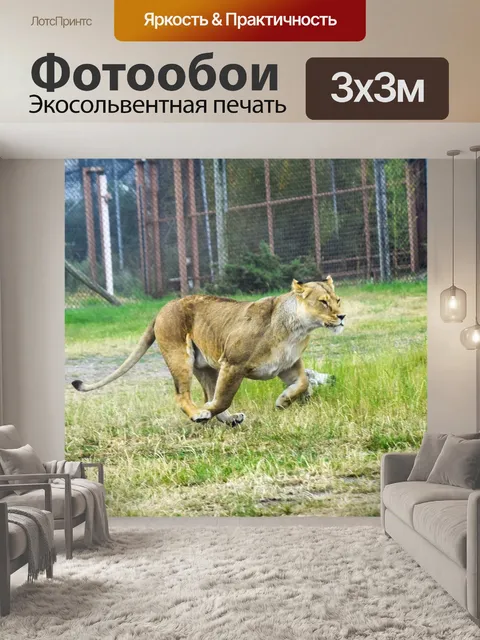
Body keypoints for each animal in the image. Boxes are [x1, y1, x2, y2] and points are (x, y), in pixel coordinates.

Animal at [72, 277, 345, 426]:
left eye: (338, 300)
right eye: (323, 302)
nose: (342, 317)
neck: (297, 329)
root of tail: (163, 308)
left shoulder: (288, 365)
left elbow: (302, 383)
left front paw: (282, 401)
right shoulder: (233, 364)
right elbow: (223, 398)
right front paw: (204, 414)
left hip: (205, 367)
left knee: (207, 392)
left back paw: (231, 420)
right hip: (180, 357)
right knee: (183, 396)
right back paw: (199, 414)